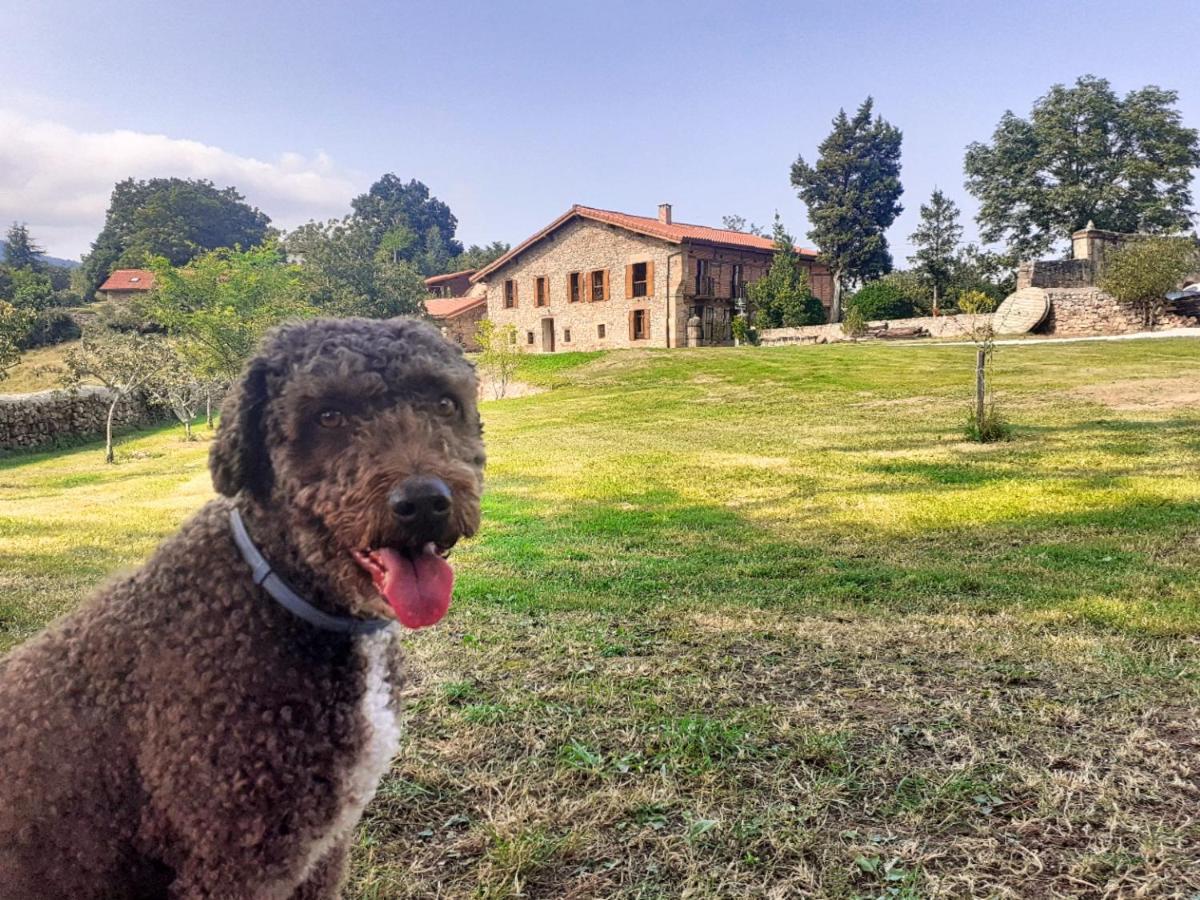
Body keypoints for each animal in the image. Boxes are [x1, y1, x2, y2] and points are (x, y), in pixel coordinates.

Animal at [1, 319, 487, 900]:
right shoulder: (234, 861)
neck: (270, 592)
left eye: (445, 402)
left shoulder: (321, 853)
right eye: (328, 415)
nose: (424, 501)